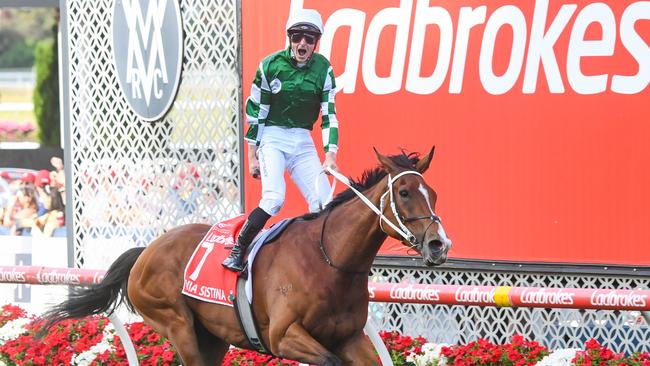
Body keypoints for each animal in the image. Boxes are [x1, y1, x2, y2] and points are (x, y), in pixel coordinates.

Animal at [41, 147, 450, 366]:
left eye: (432, 192)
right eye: (405, 193)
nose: (438, 244)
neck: (330, 262)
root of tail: (147, 250)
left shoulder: (349, 337)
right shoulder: (283, 336)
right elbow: (323, 357)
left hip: (212, 337)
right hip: (175, 323)